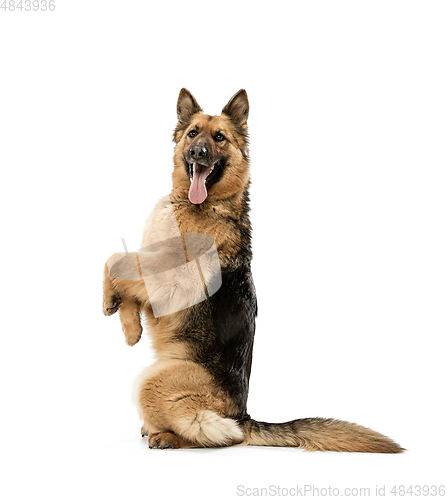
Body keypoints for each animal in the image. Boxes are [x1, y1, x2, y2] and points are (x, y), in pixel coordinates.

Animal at [103, 89, 404, 454]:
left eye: (219, 137)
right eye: (193, 133)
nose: (198, 151)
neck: (201, 204)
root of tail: (243, 415)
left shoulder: (168, 283)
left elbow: (116, 259)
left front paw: (109, 302)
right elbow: (126, 278)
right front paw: (129, 328)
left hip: (155, 381)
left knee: (218, 435)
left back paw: (168, 436)